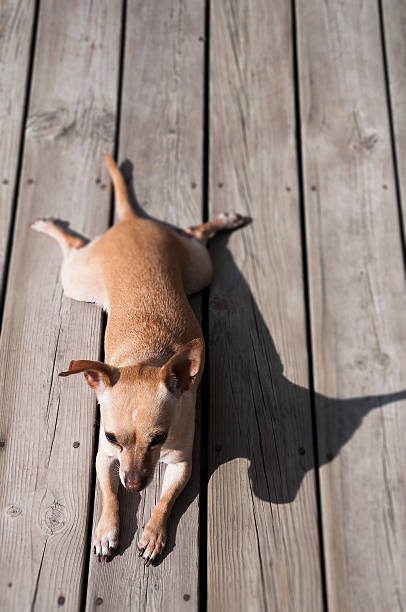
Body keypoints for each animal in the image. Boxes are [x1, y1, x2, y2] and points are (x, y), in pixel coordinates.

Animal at [30, 155, 246, 568]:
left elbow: (165, 500)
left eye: (158, 438)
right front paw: (105, 530)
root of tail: (130, 221)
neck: (146, 359)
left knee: (196, 232)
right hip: (78, 281)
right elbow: (108, 494)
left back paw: (224, 221)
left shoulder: (181, 464)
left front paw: (153, 533)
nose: (133, 483)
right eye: (112, 437)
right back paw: (50, 226)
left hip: (199, 268)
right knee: (74, 244)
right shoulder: (103, 458)